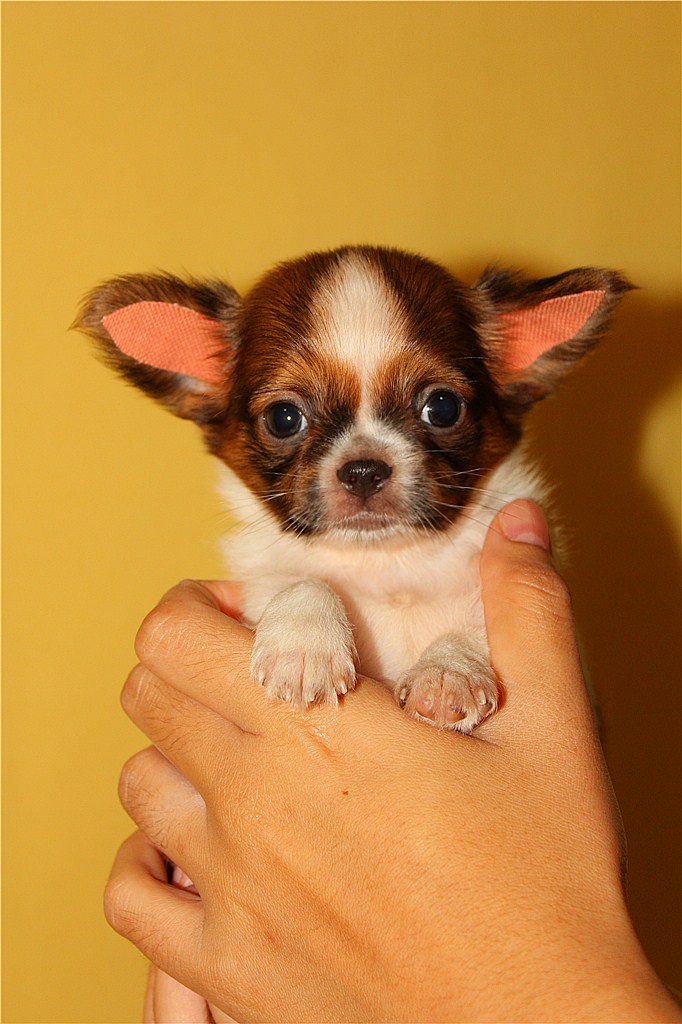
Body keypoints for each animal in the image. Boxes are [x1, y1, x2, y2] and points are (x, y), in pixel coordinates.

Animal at [77, 246, 630, 732]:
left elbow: (475, 620)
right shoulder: (261, 582)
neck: (385, 564)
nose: (364, 469)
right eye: (284, 418)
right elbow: (302, 581)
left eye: (443, 407)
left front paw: (449, 672)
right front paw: (304, 646)